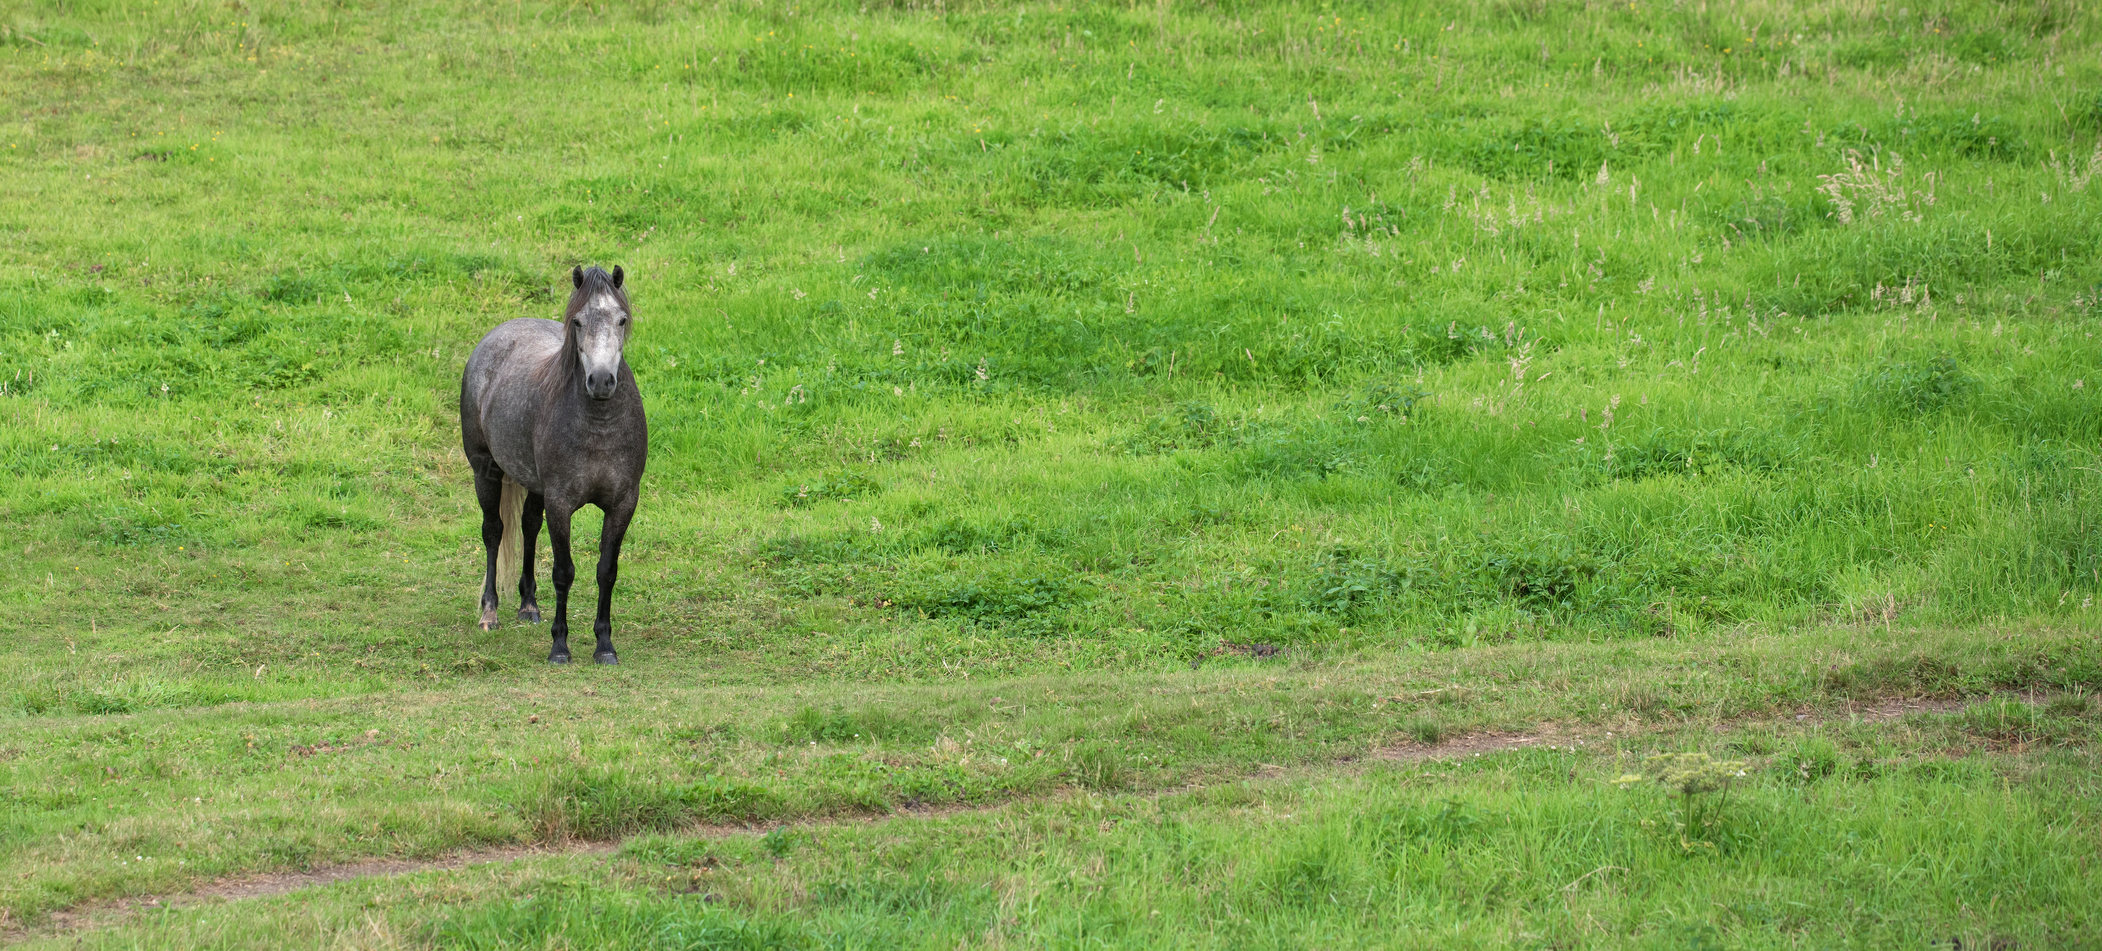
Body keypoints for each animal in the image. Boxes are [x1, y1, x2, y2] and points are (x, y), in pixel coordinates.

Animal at [460, 264, 647, 664]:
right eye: (577, 321)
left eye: (621, 320)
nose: (602, 381)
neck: (599, 427)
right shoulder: (560, 504)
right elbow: (564, 572)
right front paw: (560, 646)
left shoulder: (623, 504)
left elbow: (606, 571)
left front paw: (604, 646)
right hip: (486, 472)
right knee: (494, 532)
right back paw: (490, 613)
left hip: (534, 485)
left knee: (529, 527)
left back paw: (528, 605)